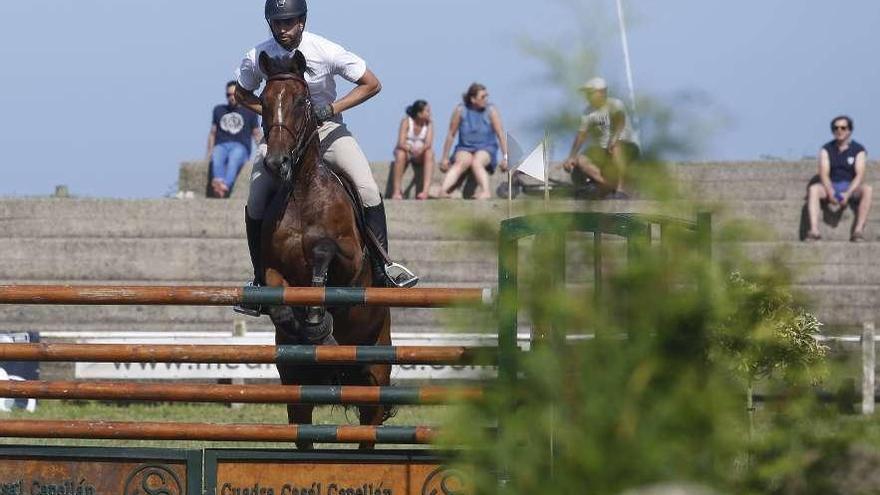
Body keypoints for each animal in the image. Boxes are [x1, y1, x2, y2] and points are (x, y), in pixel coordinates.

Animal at [254, 50, 392, 450]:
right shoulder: (273, 268)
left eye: (302, 102)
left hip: (375, 379)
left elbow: (323, 253)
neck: (303, 191)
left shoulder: (353, 263)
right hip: (296, 390)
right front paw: (308, 326)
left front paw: (317, 318)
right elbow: (278, 296)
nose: (276, 163)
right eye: (263, 103)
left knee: (368, 433)